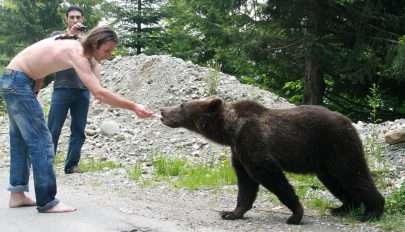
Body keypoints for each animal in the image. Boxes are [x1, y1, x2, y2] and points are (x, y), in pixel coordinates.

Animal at [159, 95, 384, 225]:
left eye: (182, 105)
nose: (162, 110)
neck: (231, 130)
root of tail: (349, 122)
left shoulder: (254, 142)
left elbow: (270, 177)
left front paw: (295, 214)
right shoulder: (239, 151)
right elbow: (246, 184)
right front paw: (231, 212)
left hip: (337, 146)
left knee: (353, 175)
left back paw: (372, 211)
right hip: (324, 161)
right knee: (335, 181)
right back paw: (343, 208)